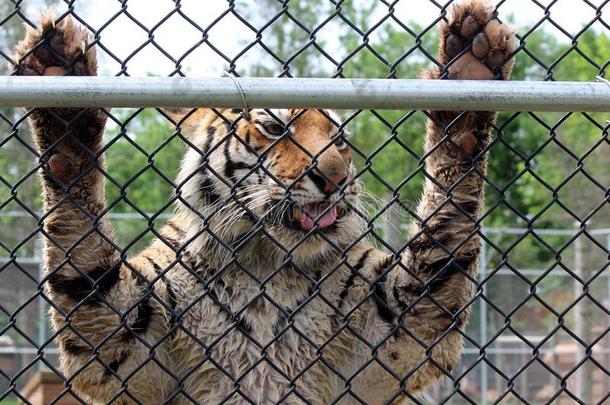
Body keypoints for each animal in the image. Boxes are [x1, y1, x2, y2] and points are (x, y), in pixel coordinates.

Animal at [10, 1, 512, 402]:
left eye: (341, 141)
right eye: (274, 128)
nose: (334, 178)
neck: (268, 261)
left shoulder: (406, 320)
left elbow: (444, 231)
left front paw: (470, 69)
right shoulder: (119, 337)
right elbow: (82, 245)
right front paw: (61, 92)